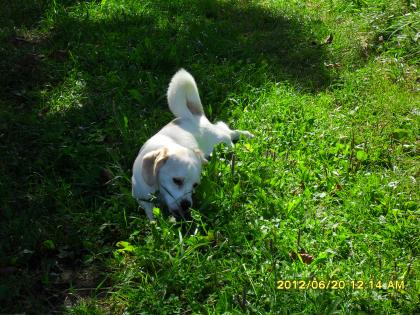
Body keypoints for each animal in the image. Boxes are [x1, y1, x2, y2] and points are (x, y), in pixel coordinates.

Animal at [131, 70, 253, 221]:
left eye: (195, 185)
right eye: (177, 181)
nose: (186, 204)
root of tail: (194, 115)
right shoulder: (142, 198)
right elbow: (151, 213)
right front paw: (155, 223)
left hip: (217, 139)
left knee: (228, 132)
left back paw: (246, 135)